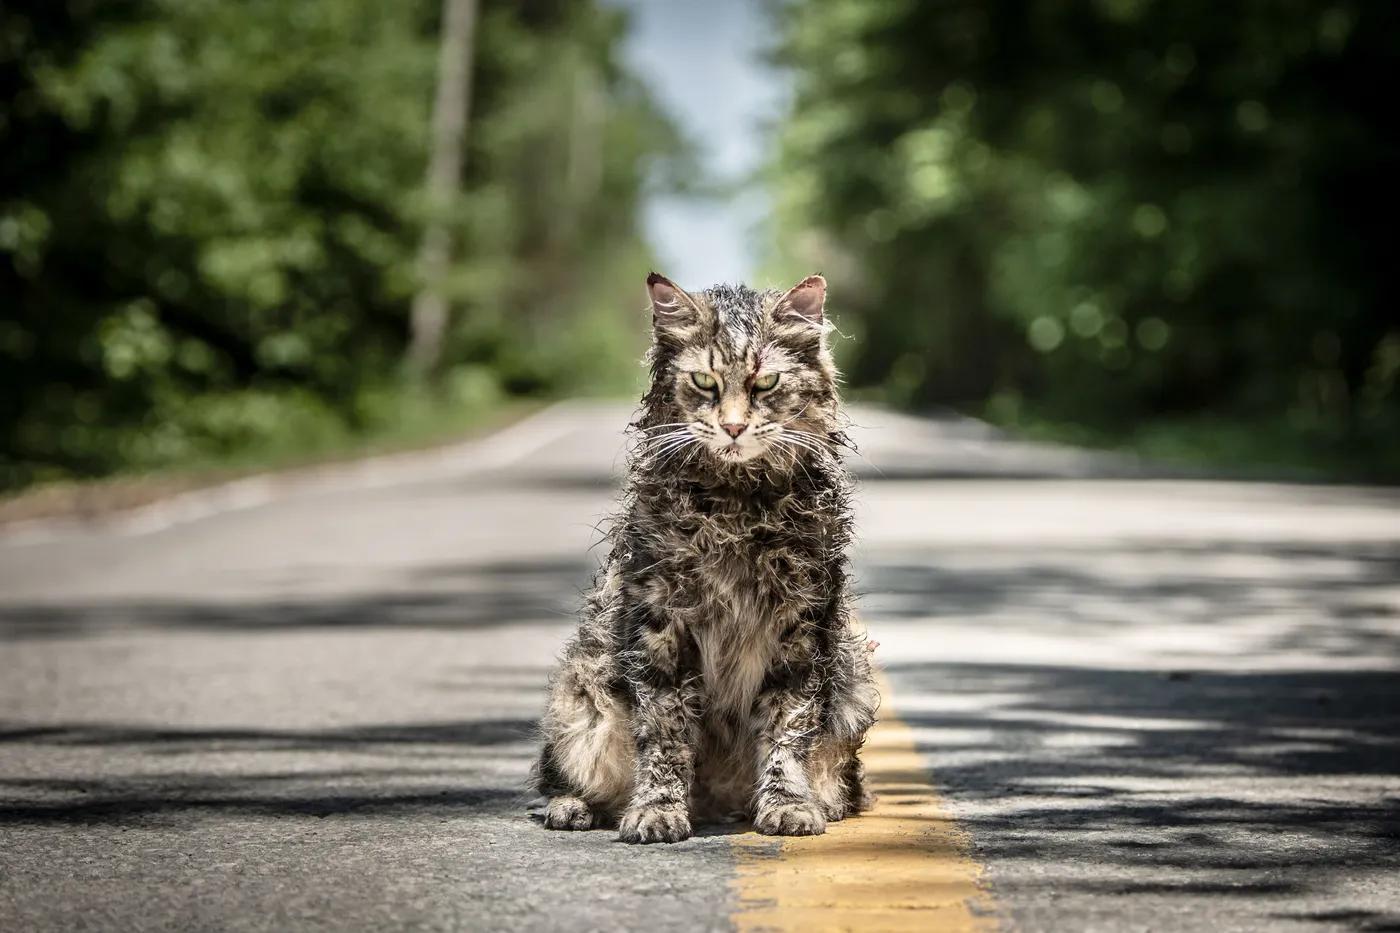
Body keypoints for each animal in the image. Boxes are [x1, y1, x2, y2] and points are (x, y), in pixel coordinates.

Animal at [532, 270, 873, 840]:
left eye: (765, 384)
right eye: (705, 383)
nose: (733, 427)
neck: (736, 507)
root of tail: (717, 804)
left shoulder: (801, 627)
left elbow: (787, 728)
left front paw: (787, 803)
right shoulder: (661, 625)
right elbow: (665, 733)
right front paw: (657, 810)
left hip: (854, 686)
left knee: (841, 783)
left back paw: (813, 803)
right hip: (581, 693)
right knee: (565, 776)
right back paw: (574, 807)